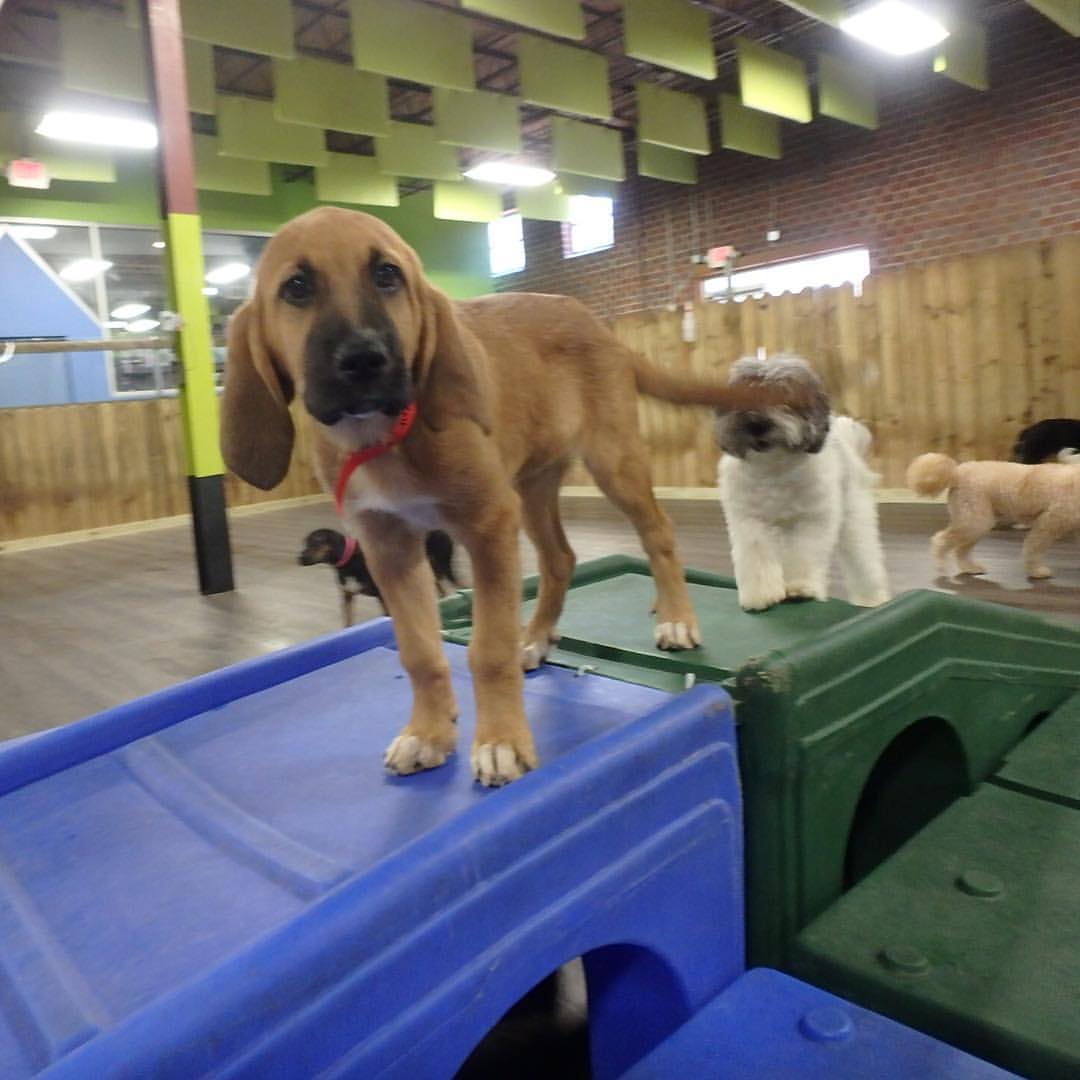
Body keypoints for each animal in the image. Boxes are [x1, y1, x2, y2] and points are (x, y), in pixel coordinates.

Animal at [300, 524, 460, 626]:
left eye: (316, 542)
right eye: (305, 543)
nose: (299, 559)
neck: (349, 560)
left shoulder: (382, 596)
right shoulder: (347, 596)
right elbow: (348, 622)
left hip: (444, 564)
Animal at [721, 354, 889, 609]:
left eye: (783, 397)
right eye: (743, 396)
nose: (757, 424)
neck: (774, 469)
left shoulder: (811, 521)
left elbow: (804, 554)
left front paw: (800, 588)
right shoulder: (750, 522)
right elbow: (757, 556)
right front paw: (761, 595)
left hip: (854, 522)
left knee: (865, 562)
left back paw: (873, 601)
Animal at [907, 451, 1075, 578]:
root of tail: (956, 472)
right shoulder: (1048, 524)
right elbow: (1035, 548)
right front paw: (1037, 571)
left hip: (976, 522)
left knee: (961, 550)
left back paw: (970, 568)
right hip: (974, 521)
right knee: (941, 540)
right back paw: (941, 565)